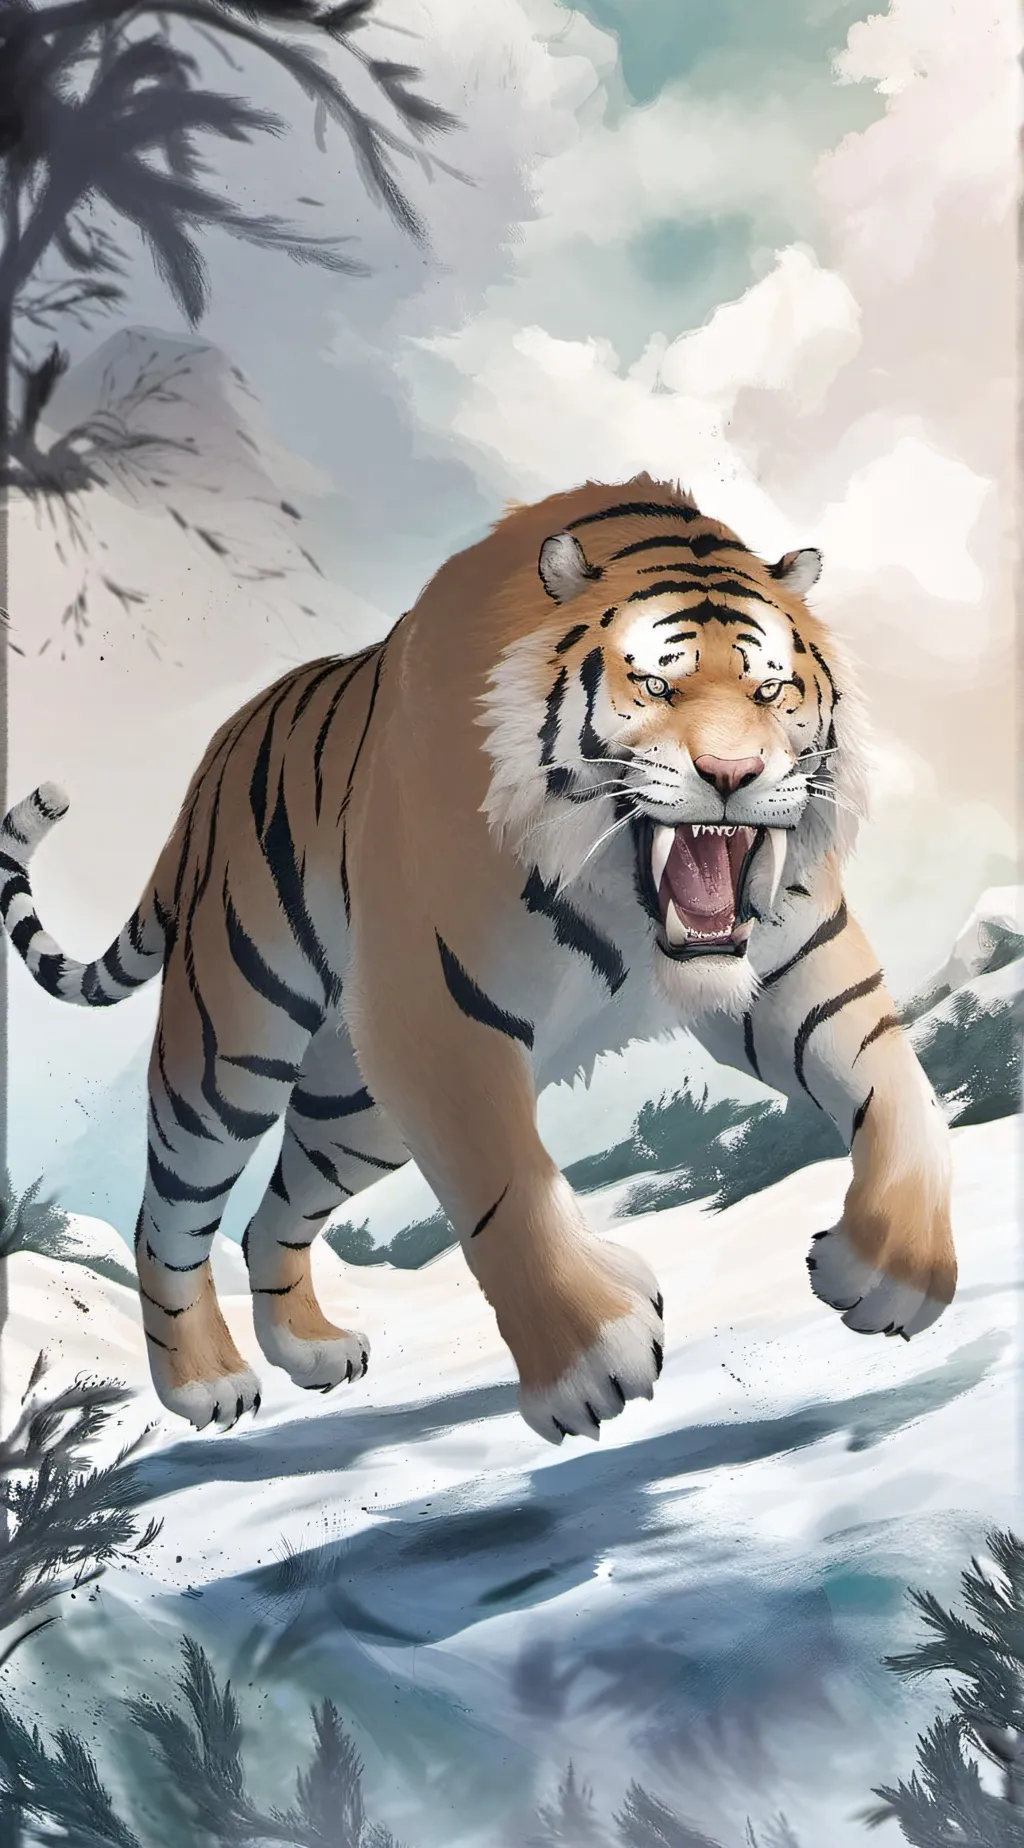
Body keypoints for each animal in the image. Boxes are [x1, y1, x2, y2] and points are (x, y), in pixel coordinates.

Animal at [0, 474, 956, 1443]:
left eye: (770, 690)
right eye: (654, 684)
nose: (734, 774)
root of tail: (209, 768)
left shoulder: (800, 971)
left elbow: (901, 1095)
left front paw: (893, 1271)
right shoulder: (438, 1018)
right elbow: (508, 1184)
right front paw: (587, 1356)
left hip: (356, 1108)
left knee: (274, 1215)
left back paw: (310, 1348)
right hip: (229, 1048)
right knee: (168, 1217)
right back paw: (203, 1382)